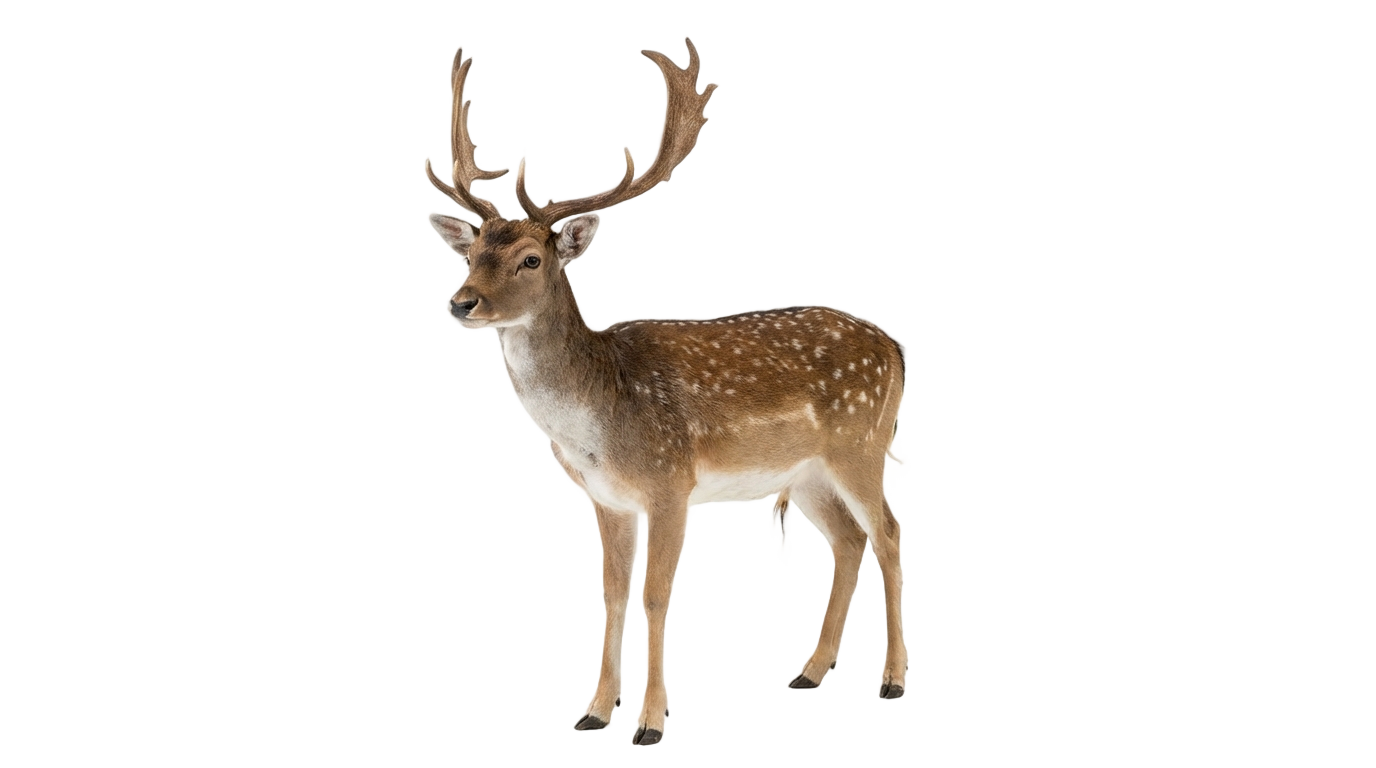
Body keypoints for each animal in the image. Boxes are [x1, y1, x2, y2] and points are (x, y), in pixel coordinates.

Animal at [424, 39, 911, 747]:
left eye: (531, 260)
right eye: (471, 254)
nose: (463, 303)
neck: (602, 417)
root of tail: (894, 350)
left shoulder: (671, 482)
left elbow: (655, 594)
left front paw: (652, 724)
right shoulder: (605, 497)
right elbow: (608, 594)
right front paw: (595, 713)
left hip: (862, 443)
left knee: (890, 531)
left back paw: (895, 683)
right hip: (809, 471)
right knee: (847, 539)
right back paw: (809, 672)